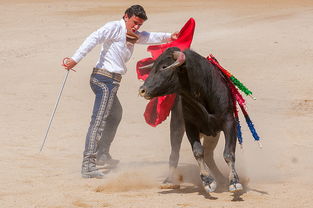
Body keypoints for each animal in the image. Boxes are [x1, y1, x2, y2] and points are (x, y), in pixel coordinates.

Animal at [138, 47, 243, 193]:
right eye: (152, 67)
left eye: (164, 67)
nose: (142, 90)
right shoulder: (190, 126)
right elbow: (198, 152)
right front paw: (208, 181)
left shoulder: (229, 122)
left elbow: (228, 153)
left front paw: (234, 182)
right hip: (177, 124)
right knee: (175, 154)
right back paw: (169, 181)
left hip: (213, 134)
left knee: (209, 155)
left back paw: (221, 179)